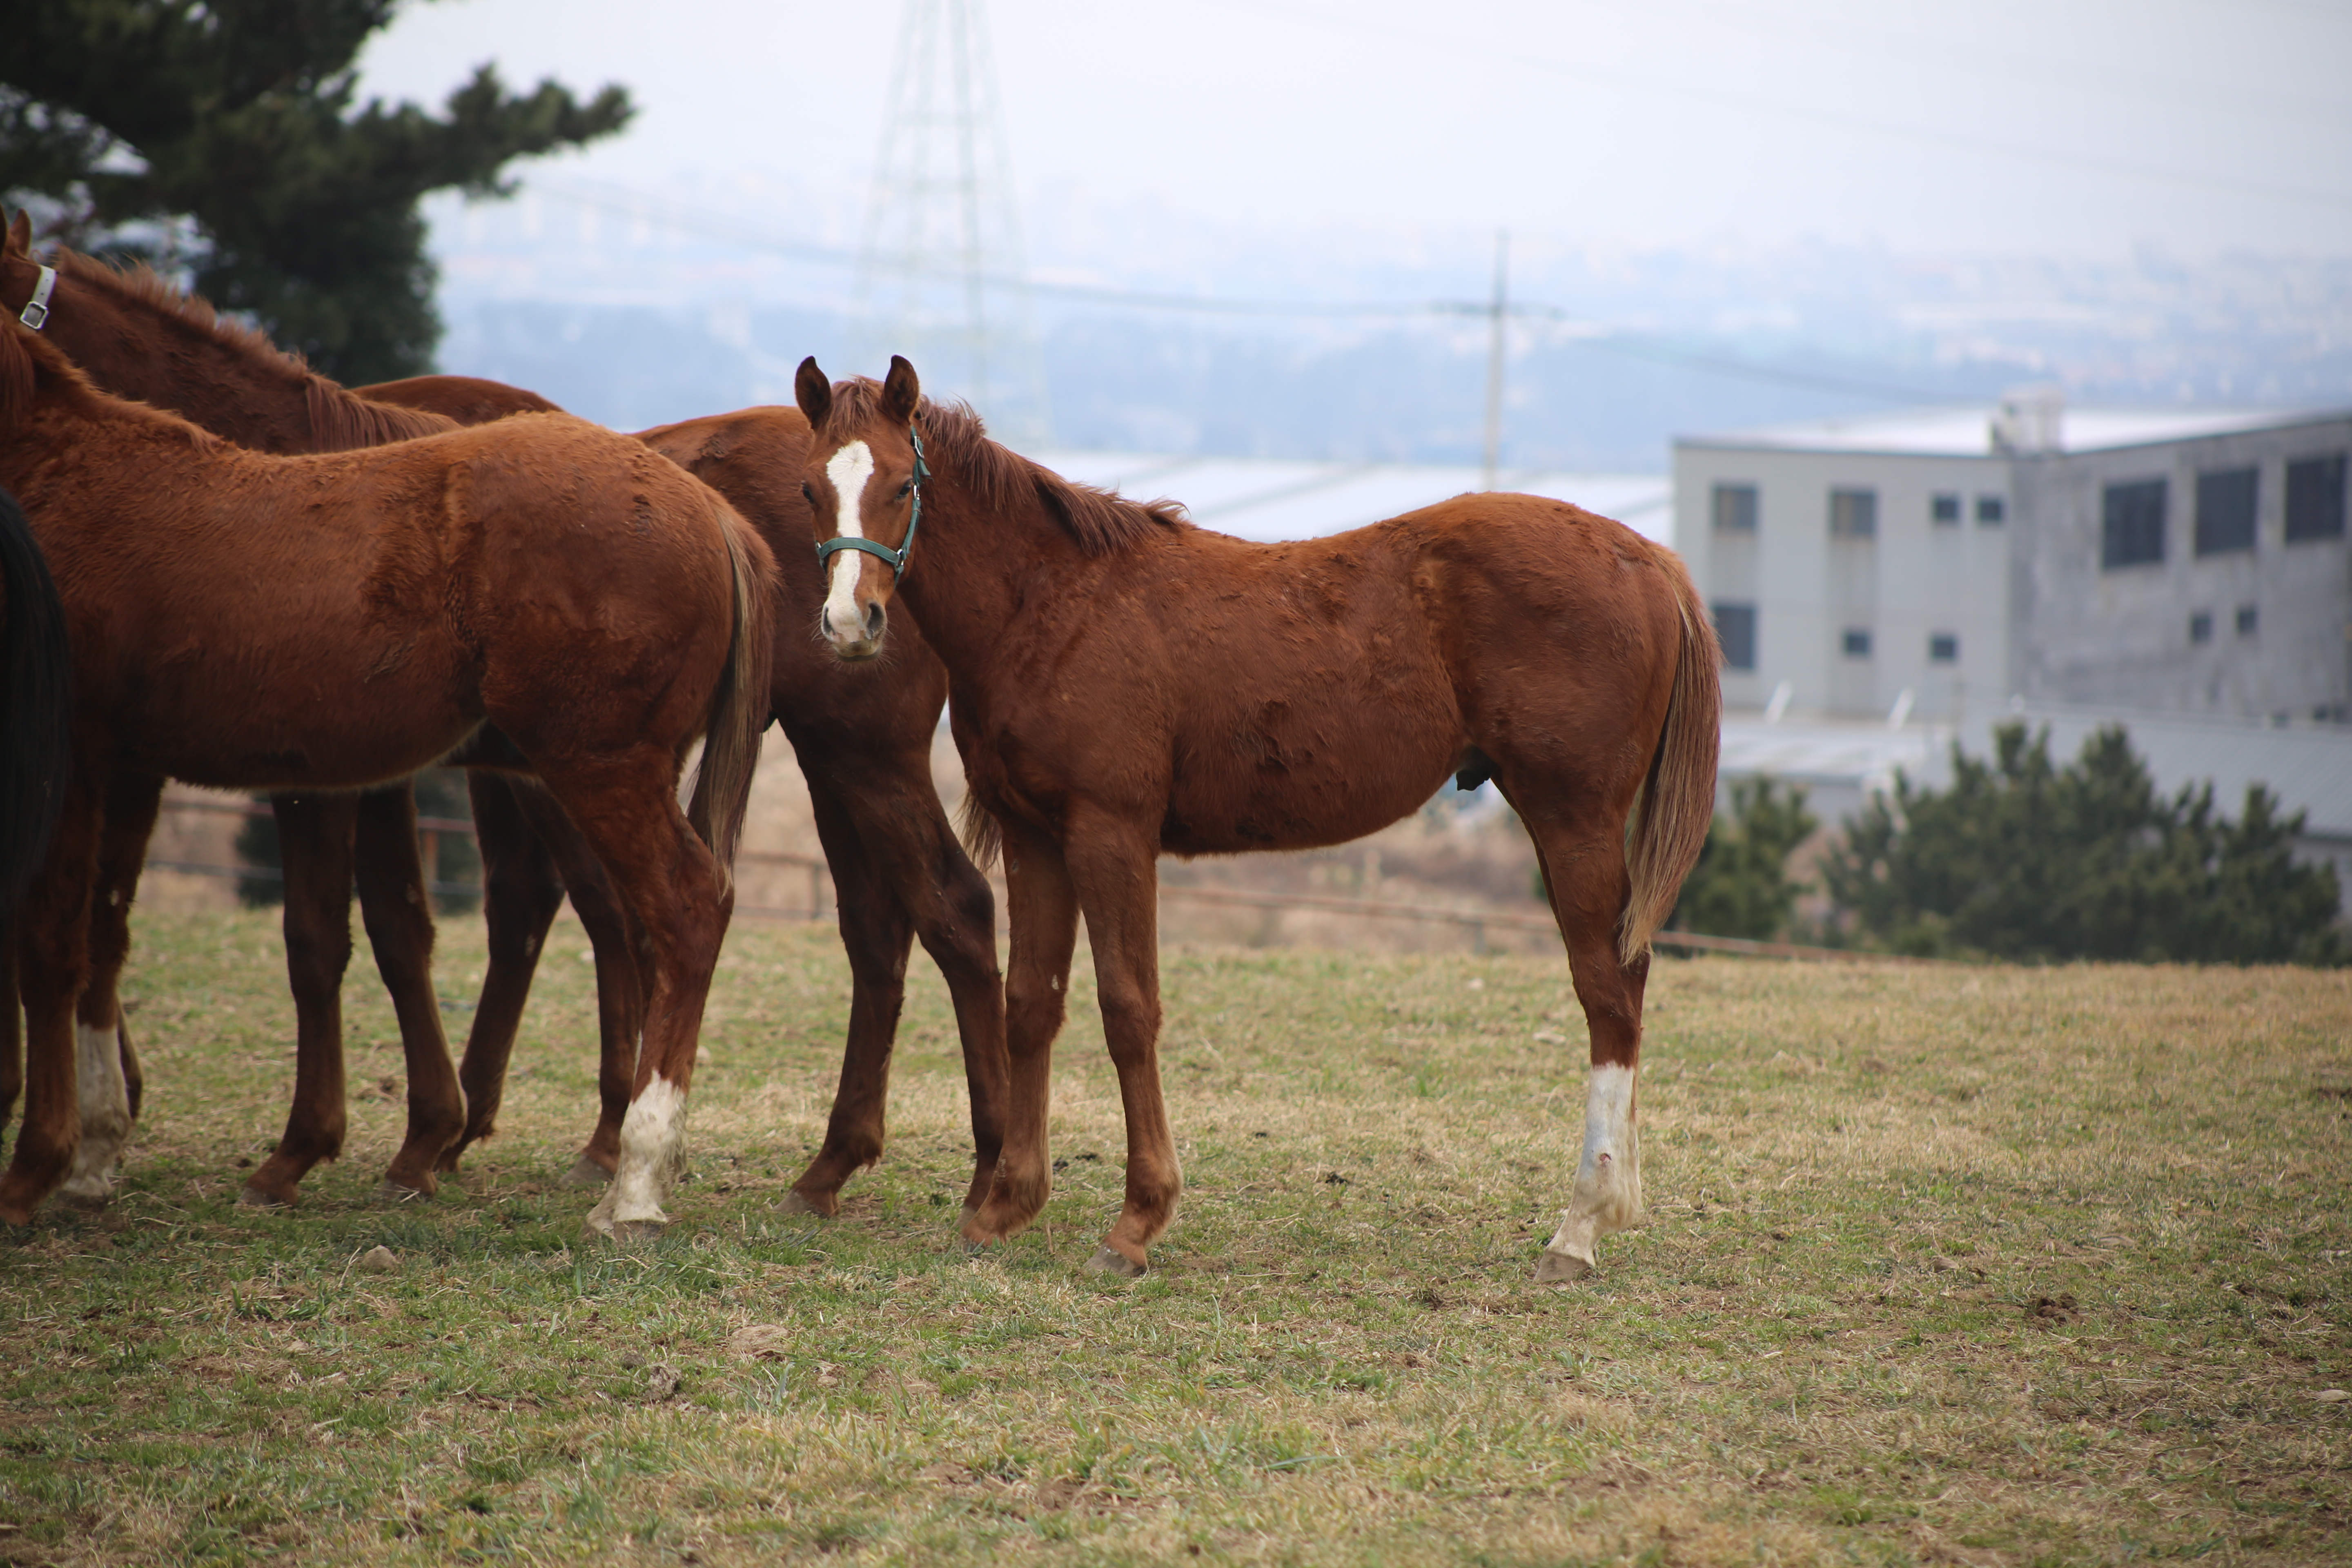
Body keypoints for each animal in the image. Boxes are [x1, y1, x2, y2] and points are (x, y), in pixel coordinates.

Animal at [790, 359, 1712, 1288]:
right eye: (807, 491)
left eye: (903, 485)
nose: (850, 624)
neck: (1053, 603)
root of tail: (1650, 557)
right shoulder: (1034, 834)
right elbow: (1031, 1006)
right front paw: (1005, 1206)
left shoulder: (1111, 833)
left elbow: (1128, 1009)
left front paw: (1138, 1221)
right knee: (1625, 984)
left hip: (1572, 819)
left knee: (1608, 997)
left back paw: (1579, 1227)